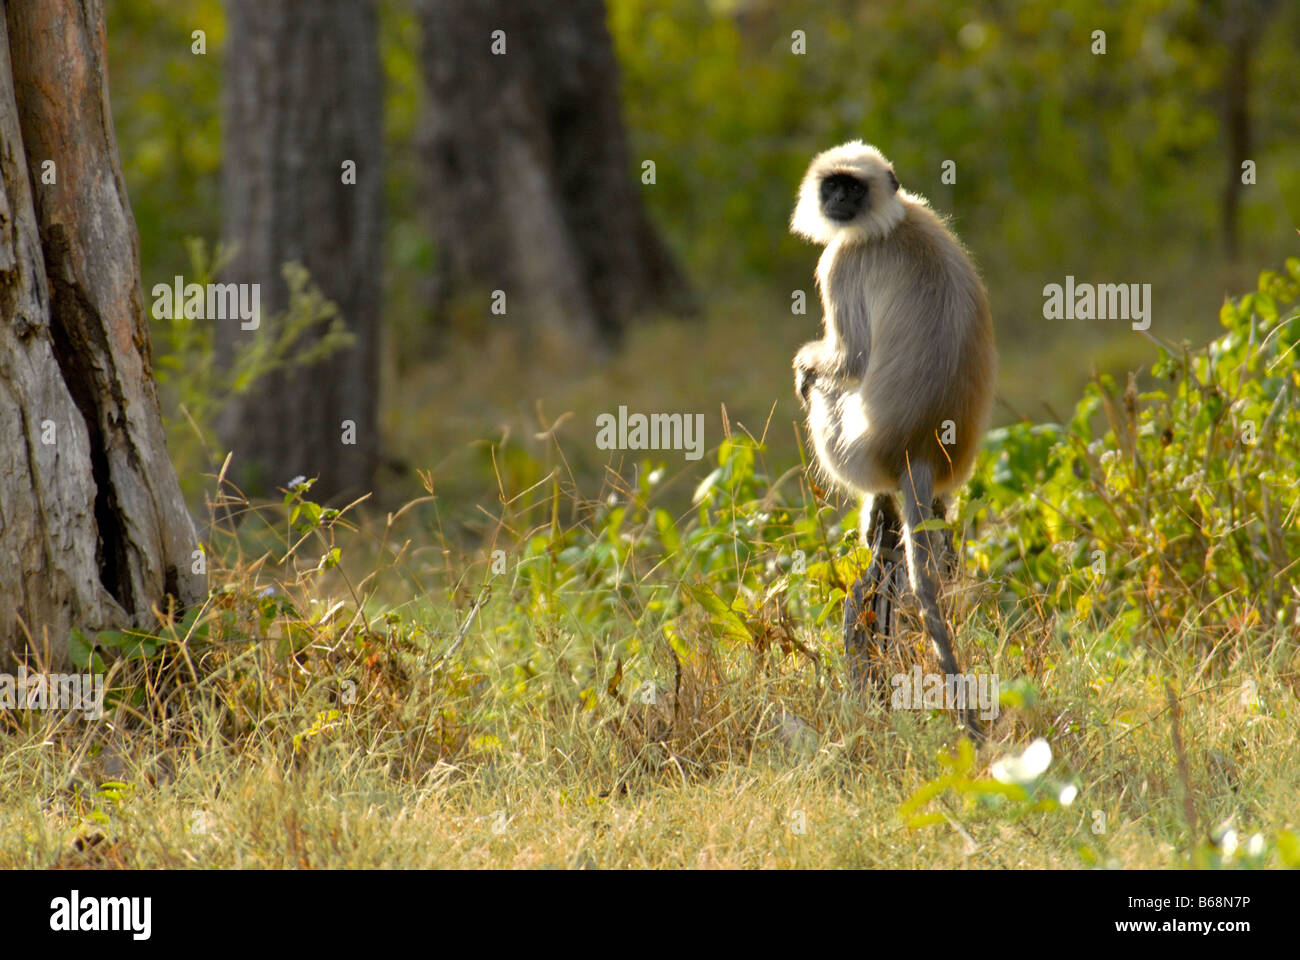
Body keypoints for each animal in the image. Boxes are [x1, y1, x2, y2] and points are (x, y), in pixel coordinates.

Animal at [790, 140, 993, 733]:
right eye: (834, 184)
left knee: (824, 393)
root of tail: (919, 454)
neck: (889, 223)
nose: (838, 199)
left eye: (852, 187)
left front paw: (806, 365)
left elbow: (848, 360)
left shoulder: (840, 263)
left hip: (850, 449)